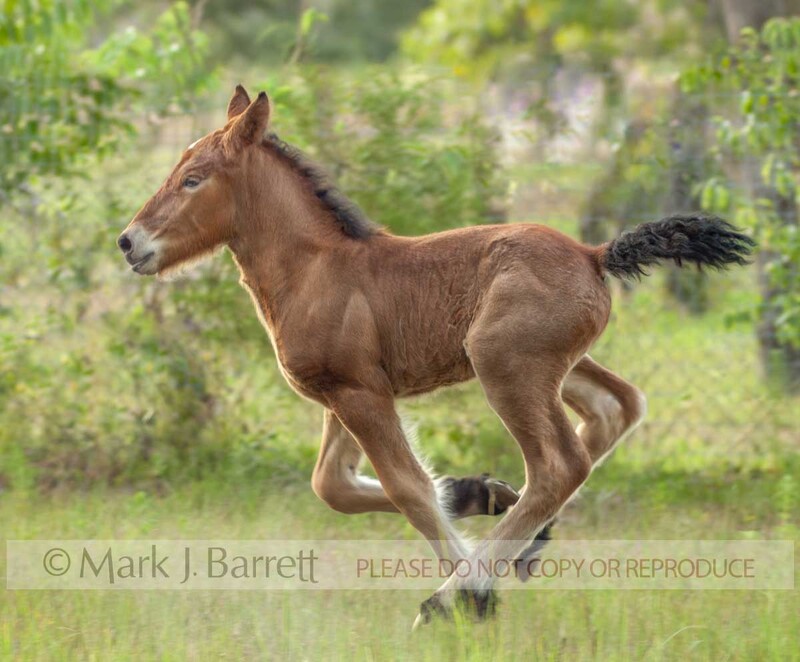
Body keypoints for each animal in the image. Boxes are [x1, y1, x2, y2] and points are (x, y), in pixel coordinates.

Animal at [117, 85, 754, 626]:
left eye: (194, 179)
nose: (129, 241)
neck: (315, 269)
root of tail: (595, 255)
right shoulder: (345, 395)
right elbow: (334, 485)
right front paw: (478, 493)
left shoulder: (357, 393)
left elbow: (407, 487)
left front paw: (460, 594)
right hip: (552, 366)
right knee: (616, 407)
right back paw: (525, 539)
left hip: (504, 363)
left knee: (561, 463)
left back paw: (462, 591)